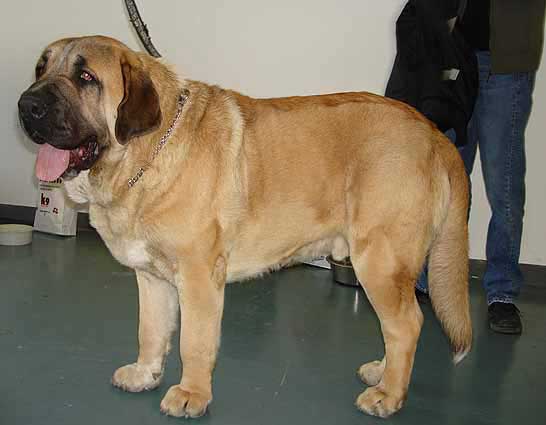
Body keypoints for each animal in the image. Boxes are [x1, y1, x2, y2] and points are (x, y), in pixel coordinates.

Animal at [15, 35, 468, 418]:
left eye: (85, 77)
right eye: (41, 67)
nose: (26, 105)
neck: (146, 154)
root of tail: (433, 133)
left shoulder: (199, 277)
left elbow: (194, 342)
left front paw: (192, 395)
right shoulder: (152, 277)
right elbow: (151, 330)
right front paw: (145, 374)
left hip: (380, 262)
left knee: (407, 324)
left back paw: (388, 395)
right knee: (397, 328)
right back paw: (382, 372)